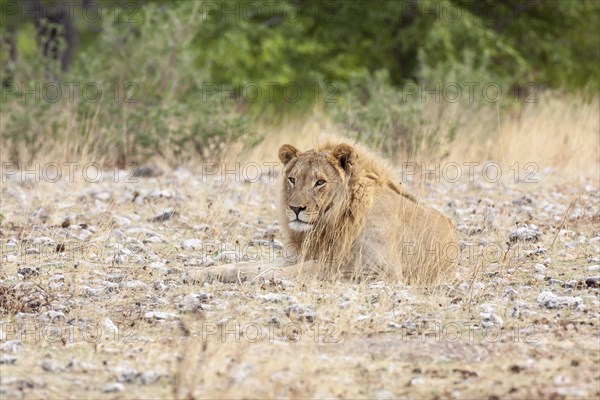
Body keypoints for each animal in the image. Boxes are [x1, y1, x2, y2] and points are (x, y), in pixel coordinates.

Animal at [197, 139, 460, 286]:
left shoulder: (379, 267)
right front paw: (205, 273)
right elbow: (249, 265)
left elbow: (314, 267)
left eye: (320, 182)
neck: (333, 220)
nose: (295, 209)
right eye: (292, 179)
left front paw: (267, 277)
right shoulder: (303, 254)